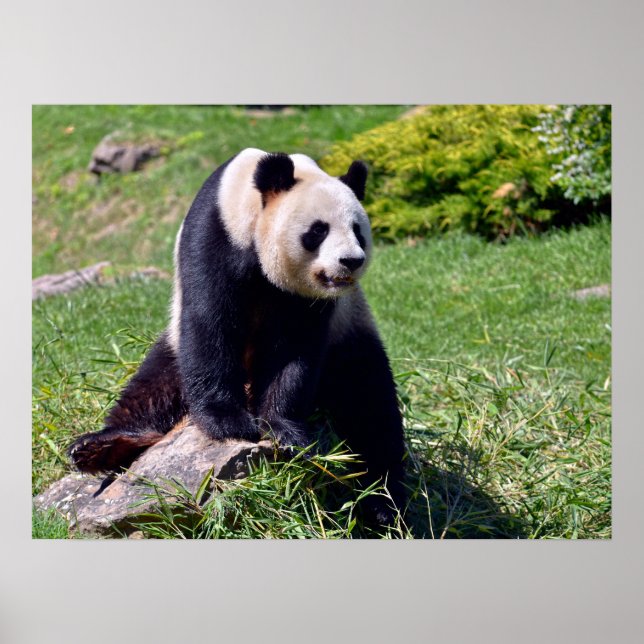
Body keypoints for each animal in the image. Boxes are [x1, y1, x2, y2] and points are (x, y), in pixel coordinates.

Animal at [68, 148, 405, 523]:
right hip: (172, 348)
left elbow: (293, 349)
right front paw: (228, 423)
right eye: (318, 230)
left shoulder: (311, 302)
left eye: (358, 231)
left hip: (349, 337)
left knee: (371, 408)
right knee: (153, 387)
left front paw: (283, 429)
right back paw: (101, 448)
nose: (351, 260)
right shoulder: (214, 235)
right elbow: (209, 322)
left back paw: (382, 504)